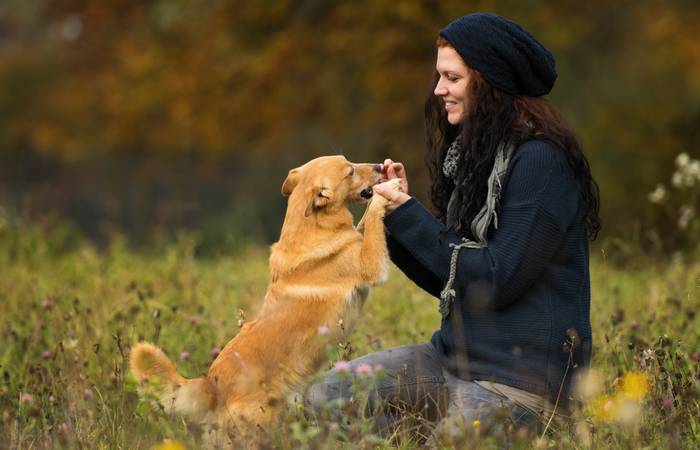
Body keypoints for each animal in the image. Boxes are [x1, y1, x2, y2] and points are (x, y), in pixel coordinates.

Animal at [129, 156, 402, 448]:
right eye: (350, 171)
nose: (379, 167)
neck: (313, 226)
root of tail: (211, 385)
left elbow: (362, 225)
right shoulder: (371, 265)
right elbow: (371, 219)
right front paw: (391, 190)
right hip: (257, 430)